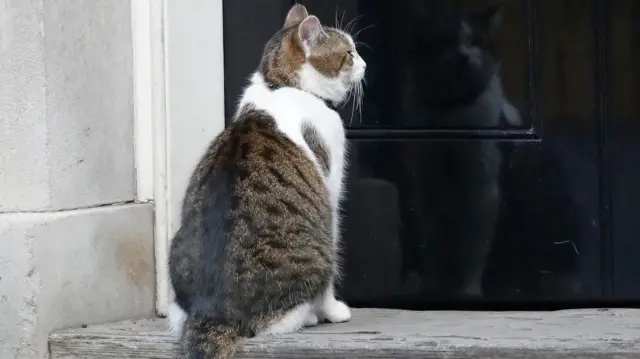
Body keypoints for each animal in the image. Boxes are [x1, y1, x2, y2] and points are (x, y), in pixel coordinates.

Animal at [165, 3, 364, 359]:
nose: (366, 65)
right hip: (316, 255)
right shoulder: (331, 188)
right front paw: (334, 310)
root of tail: (213, 311)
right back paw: (310, 315)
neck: (279, 85)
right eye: (349, 54)